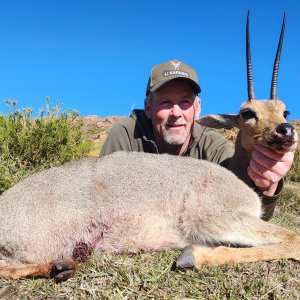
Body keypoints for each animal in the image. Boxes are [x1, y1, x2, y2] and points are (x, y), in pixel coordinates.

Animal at [0, 12, 298, 282]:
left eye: (285, 111)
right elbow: (293, 238)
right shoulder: (212, 217)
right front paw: (192, 256)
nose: (286, 131)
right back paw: (57, 267)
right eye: (248, 113)